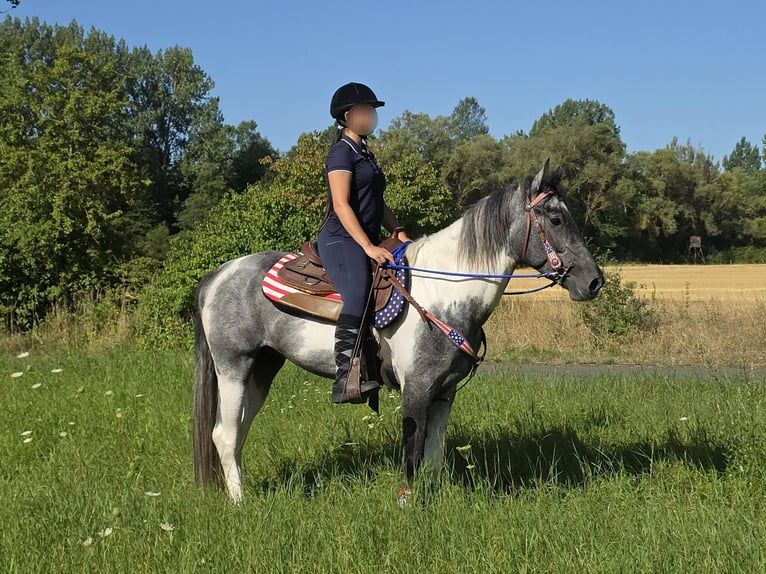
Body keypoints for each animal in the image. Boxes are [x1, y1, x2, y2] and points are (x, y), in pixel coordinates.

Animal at [192, 160, 604, 502]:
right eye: (556, 219)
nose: (594, 282)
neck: (444, 293)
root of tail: (219, 274)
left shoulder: (444, 393)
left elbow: (434, 457)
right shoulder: (416, 389)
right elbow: (413, 453)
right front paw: (408, 503)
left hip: (263, 368)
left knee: (238, 431)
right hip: (234, 367)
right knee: (224, 434)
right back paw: (240, 502)